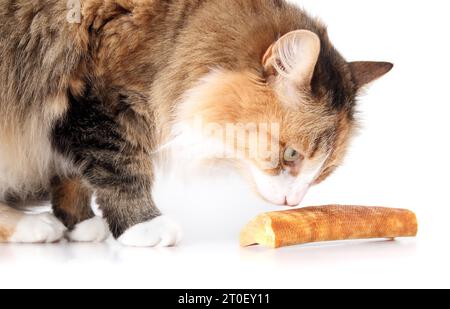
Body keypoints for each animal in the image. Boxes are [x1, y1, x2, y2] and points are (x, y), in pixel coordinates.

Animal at [0, 0, 392, 245]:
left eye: (323, 172)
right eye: (292, 155)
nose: (292, 205)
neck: (174, 38)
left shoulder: (66, 121)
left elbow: (74, 176)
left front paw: (79, 223)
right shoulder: (94, 102)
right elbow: (121, 168)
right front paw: (144, 226)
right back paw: (31, 225)